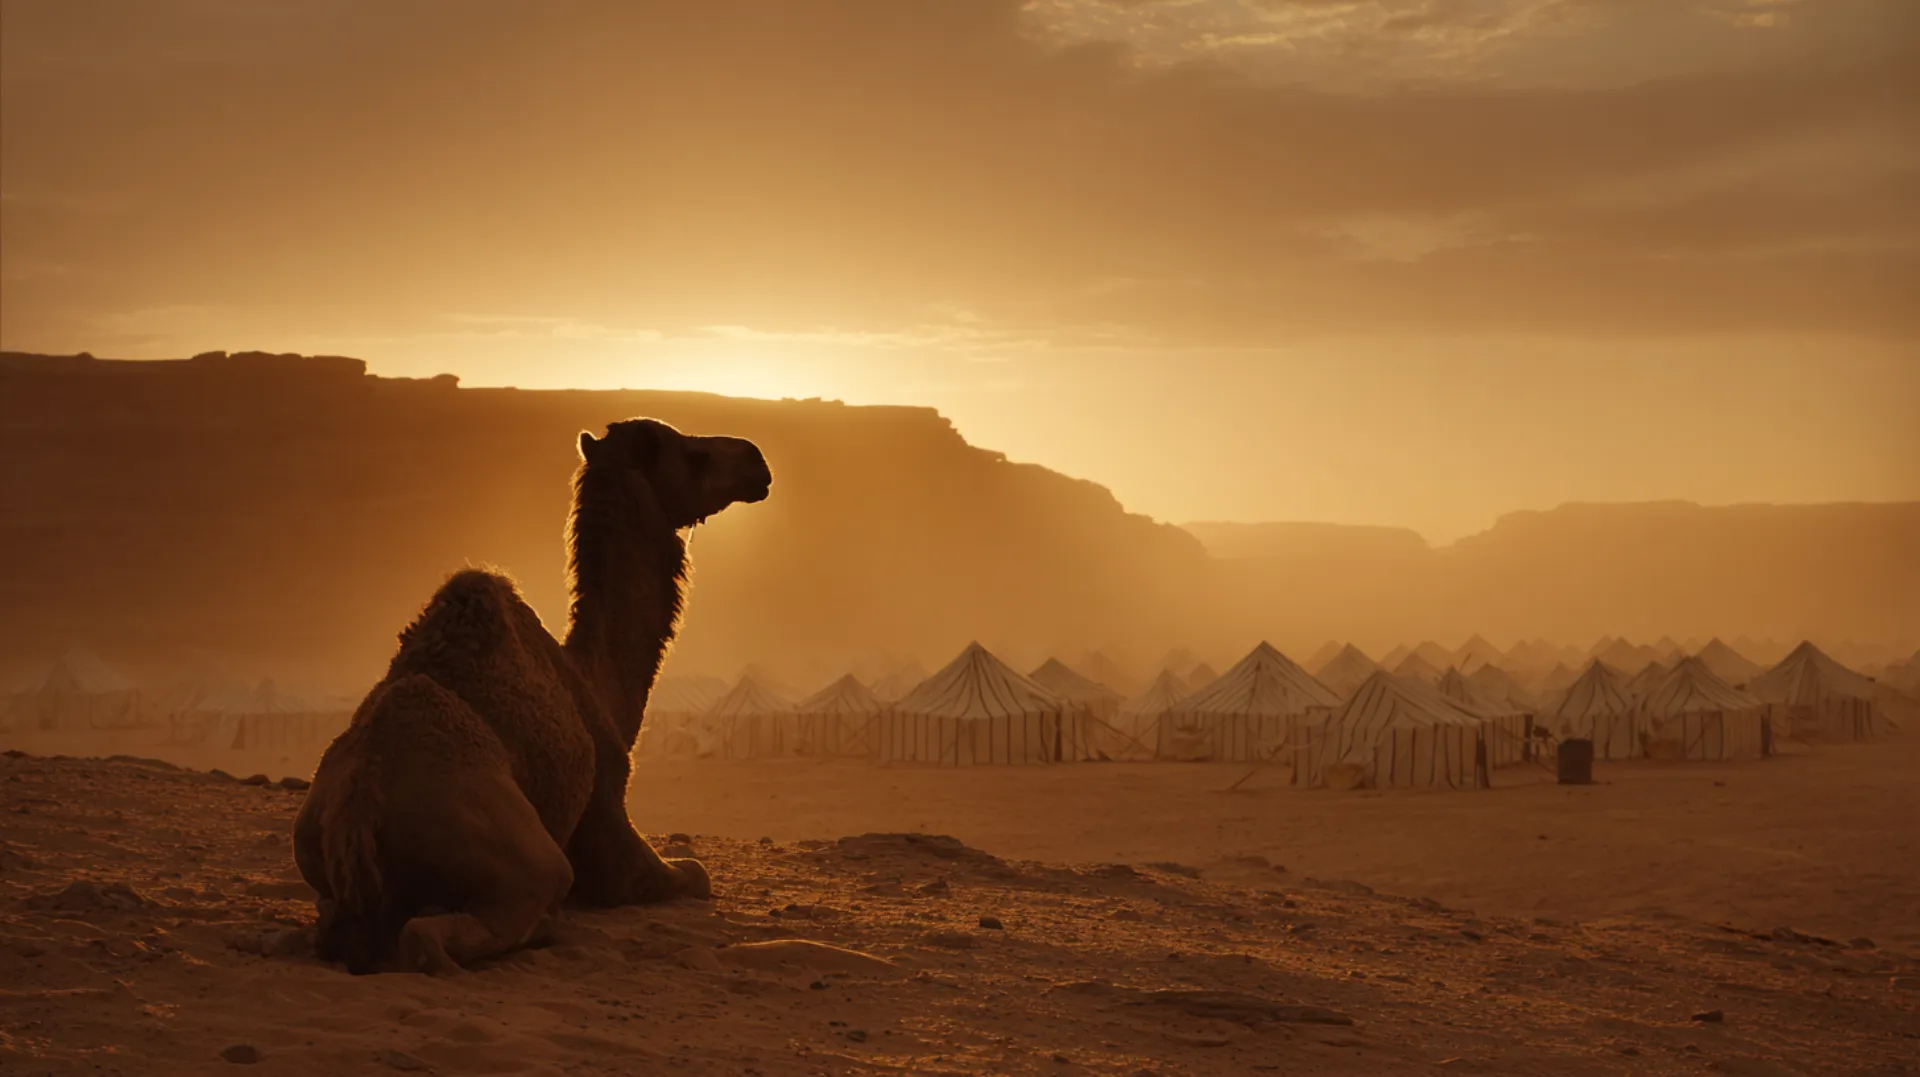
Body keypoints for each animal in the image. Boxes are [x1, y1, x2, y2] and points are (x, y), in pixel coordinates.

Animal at [293, 419, 771, 973]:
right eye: (694, 455)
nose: (757, 461)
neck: (597, 684)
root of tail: (358, 811)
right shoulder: (609, 818)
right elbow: (695, 872)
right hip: (525, 862)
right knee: (430, 933)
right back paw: (539, 926)